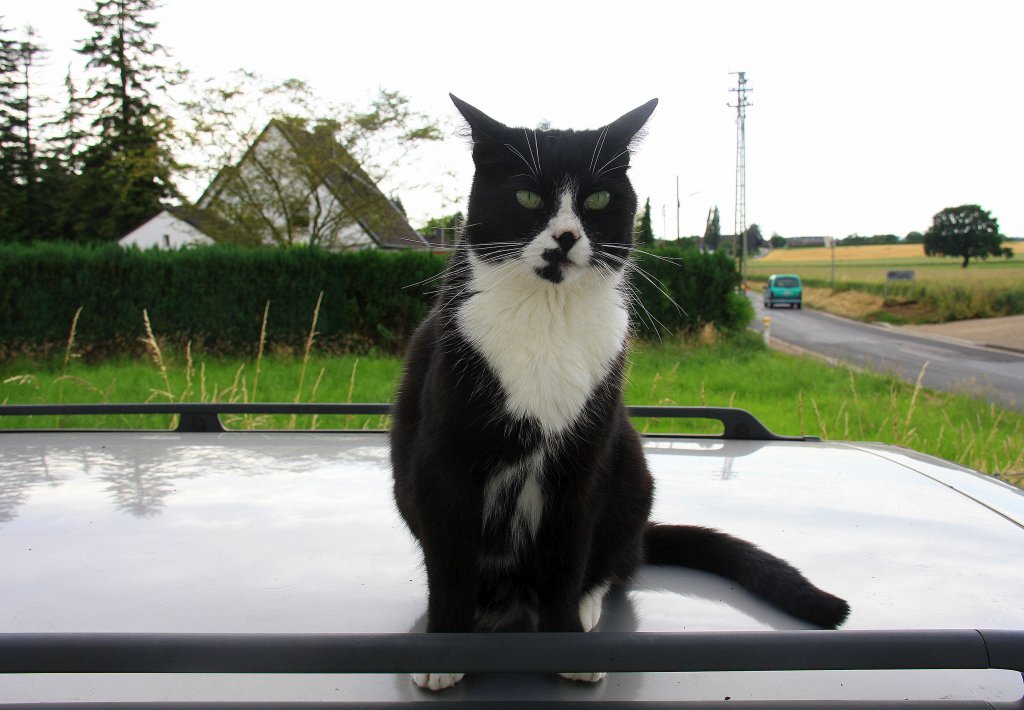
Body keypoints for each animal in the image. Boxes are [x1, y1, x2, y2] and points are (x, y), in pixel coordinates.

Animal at [391, 94, 847, 688]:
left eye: (599, 197)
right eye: (527, 195)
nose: (565, 236)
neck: (548, 316)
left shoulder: (583, 459)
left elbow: (566, 557)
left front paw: (565, 643)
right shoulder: (444, 455)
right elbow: (450, 557)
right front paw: (445, 648)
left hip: (629, 460)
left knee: (613, 564)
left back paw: (586, 608)